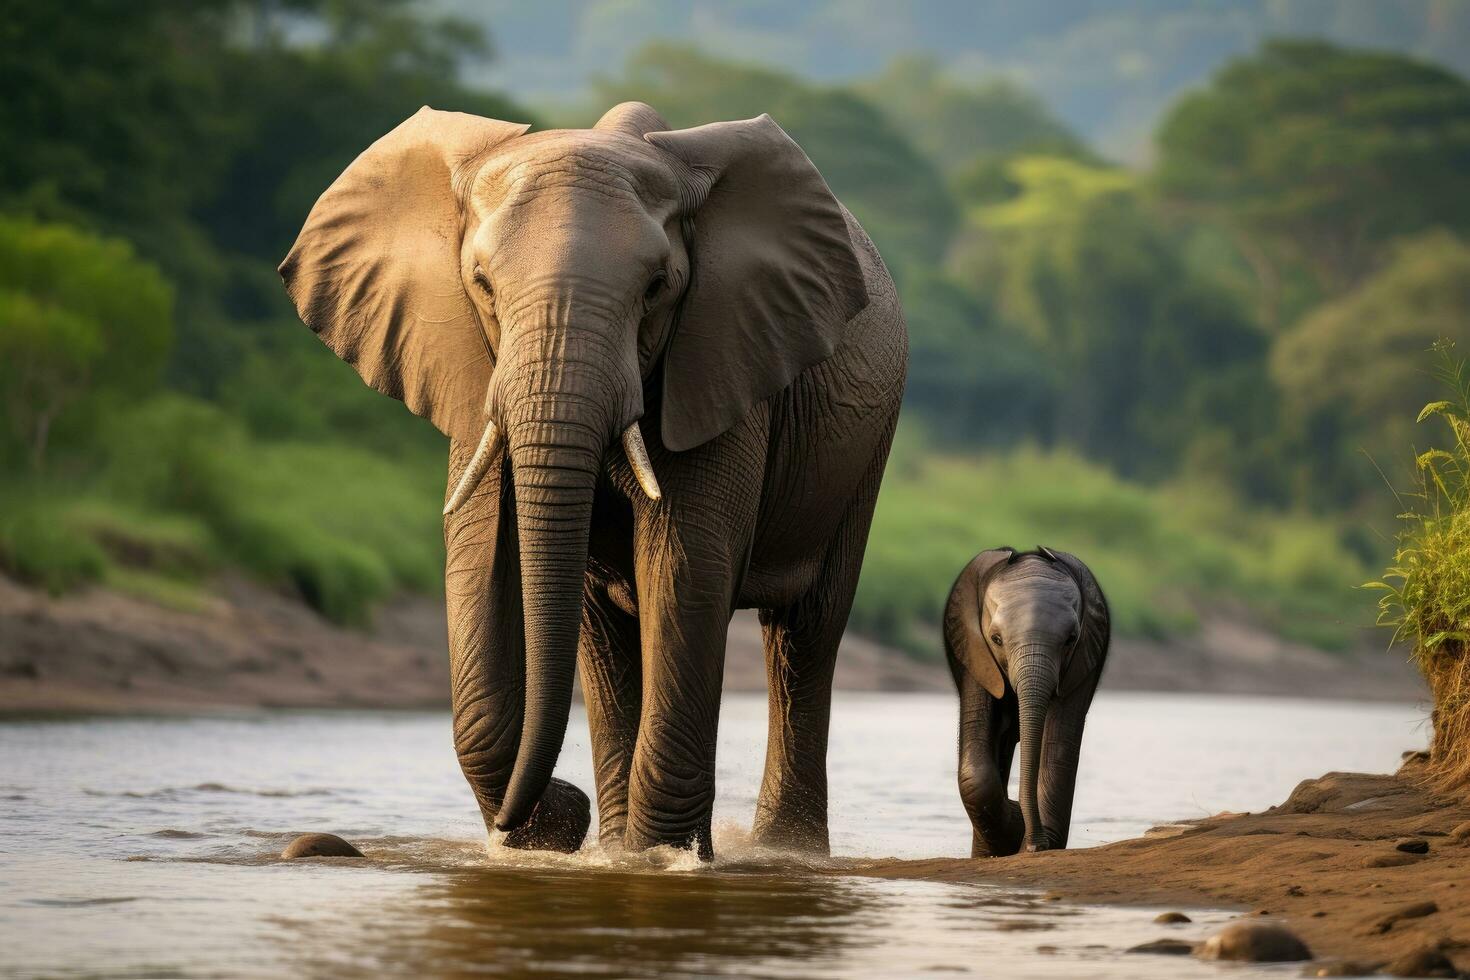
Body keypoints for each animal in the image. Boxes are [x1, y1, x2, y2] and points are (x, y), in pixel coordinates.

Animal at [273, 103, 893, 863]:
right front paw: (573, 834)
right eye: (481, 284)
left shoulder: (721, 360)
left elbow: (685, 567)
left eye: (657, 288)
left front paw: (659, 859)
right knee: (605, 630)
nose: (548, 811)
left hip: (865, 447)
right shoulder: (475, 371)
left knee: (803, 636)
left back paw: (779, 854)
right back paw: (620, 844)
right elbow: (474, 559)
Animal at [946, 549, 1105, 852]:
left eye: (1071, 639)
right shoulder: (973, 649)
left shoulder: (1084, 658)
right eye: (996, 639)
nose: (1035, 846)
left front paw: (1028, 838)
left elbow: (1059, 749)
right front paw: (1017, 825)